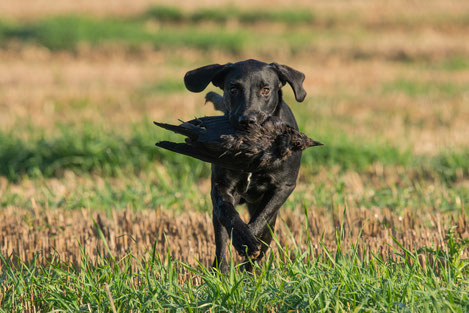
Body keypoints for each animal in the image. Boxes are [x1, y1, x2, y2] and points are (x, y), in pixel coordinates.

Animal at [183, 59, 308, 272]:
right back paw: (221, 270)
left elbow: (260, 220)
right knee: (221, 239)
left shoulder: (283, 187)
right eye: (233, 89)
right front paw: (243, 240)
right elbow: (229, 215)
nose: (248, 120)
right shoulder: (221, 187)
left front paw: (249, 244)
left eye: (266, 90)